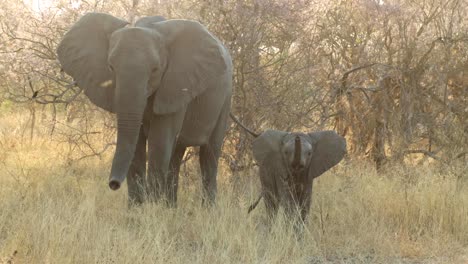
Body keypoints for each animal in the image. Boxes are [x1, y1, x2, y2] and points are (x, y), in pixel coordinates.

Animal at [57, 13, 233, 205]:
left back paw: (207, 208)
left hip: (225, 98)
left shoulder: (174, 85)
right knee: (176, 154)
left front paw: (153, 209)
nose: (113, 184)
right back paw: (171, 208)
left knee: (209, 154)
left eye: (155, 70)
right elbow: (136, 146)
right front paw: (137, 210)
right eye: (111, 67)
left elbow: (159, 142)